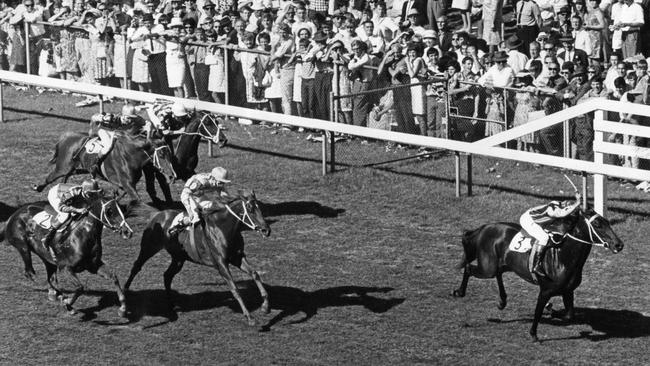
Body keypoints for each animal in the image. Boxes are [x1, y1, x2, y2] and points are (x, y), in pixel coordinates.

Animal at [0, 194, 133, 318]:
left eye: (122, 209)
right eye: (109, 211)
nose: (128, 232)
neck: (82, 235)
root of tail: (13, 215)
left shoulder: (93, 266)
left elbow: (113, 277)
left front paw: (123, 309)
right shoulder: (65, 267)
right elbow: (79, 287)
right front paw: (68, 304)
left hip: (46, 256)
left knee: (50, 277)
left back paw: (54, 294)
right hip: (23, 247)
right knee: (29, 272)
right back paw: (58, 295)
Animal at [33, 131, 175, 206]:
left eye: (170, 154)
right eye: (161, 155)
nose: (172, 176)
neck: (130, 155)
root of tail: (66, 137)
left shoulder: (123, 184)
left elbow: (118, 196)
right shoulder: (127, 184)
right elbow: (137, 199)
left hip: (77, 168)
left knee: (65, 177)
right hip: (63, 166)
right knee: (51, 177)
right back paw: (38, 187)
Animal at [123, 190, 270, 324]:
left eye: (259, 207)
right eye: (250, 208)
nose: (266, 230)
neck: (223, 229)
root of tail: (157, 214)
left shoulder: (237, 257)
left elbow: (255, 274)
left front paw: (265, 307)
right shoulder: (221, 264)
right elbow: (235, 289)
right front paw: (249, 317)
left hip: (178, 258)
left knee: (167, 275)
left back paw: (171, 304)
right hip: (148, 248)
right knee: (136, 267)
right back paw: (124, 295)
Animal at [450, 207, 624, 342]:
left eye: (608, 222)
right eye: (597, 224)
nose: (619, 245)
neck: (563, 256)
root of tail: (485, 227)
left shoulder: (568, 291)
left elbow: (569, 315)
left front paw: (552, 310)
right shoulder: (545, 290)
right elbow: (538, 312)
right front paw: (534, 334)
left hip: (501, 265)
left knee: (498, 274)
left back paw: (502, 301)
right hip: (487, 268)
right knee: (469, 268)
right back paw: (459, 292)